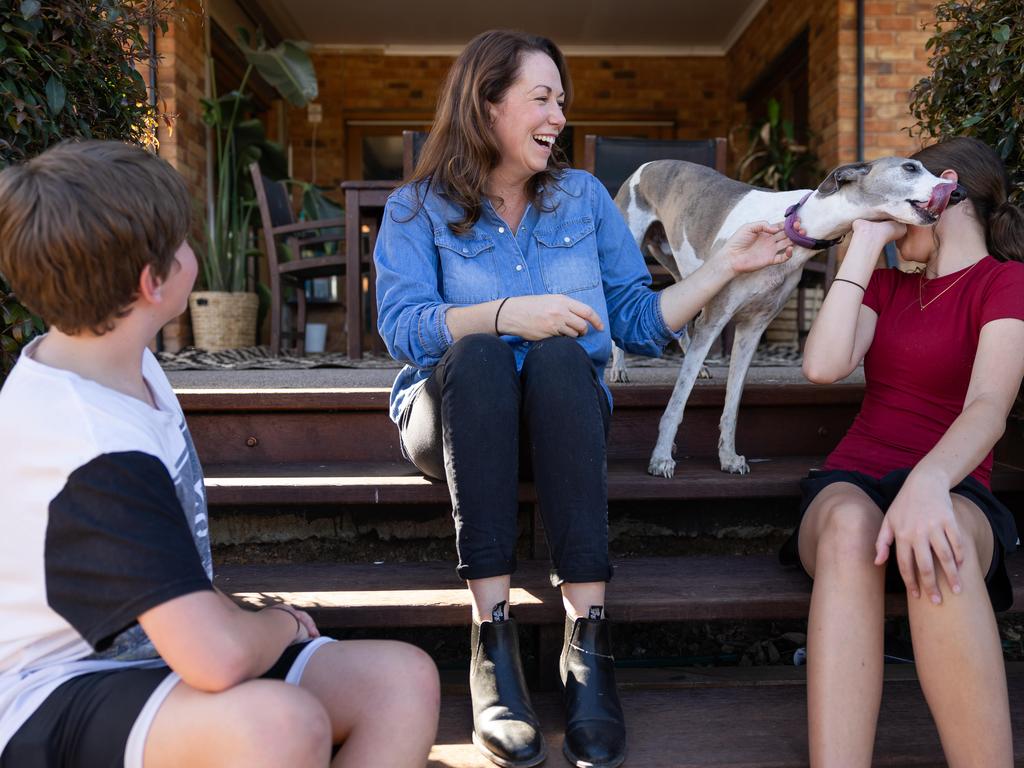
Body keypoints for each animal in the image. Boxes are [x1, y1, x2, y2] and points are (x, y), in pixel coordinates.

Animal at [614, 159, 958, 479]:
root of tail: (649, 164)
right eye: (910, 167)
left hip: (677, 267)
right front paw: (661, 458)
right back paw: (619, 370)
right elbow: (678, 400)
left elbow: (732, 404)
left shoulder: (752, 329)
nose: (957, 192)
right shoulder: (715, 318)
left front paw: (728, 457)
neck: (797, 224)